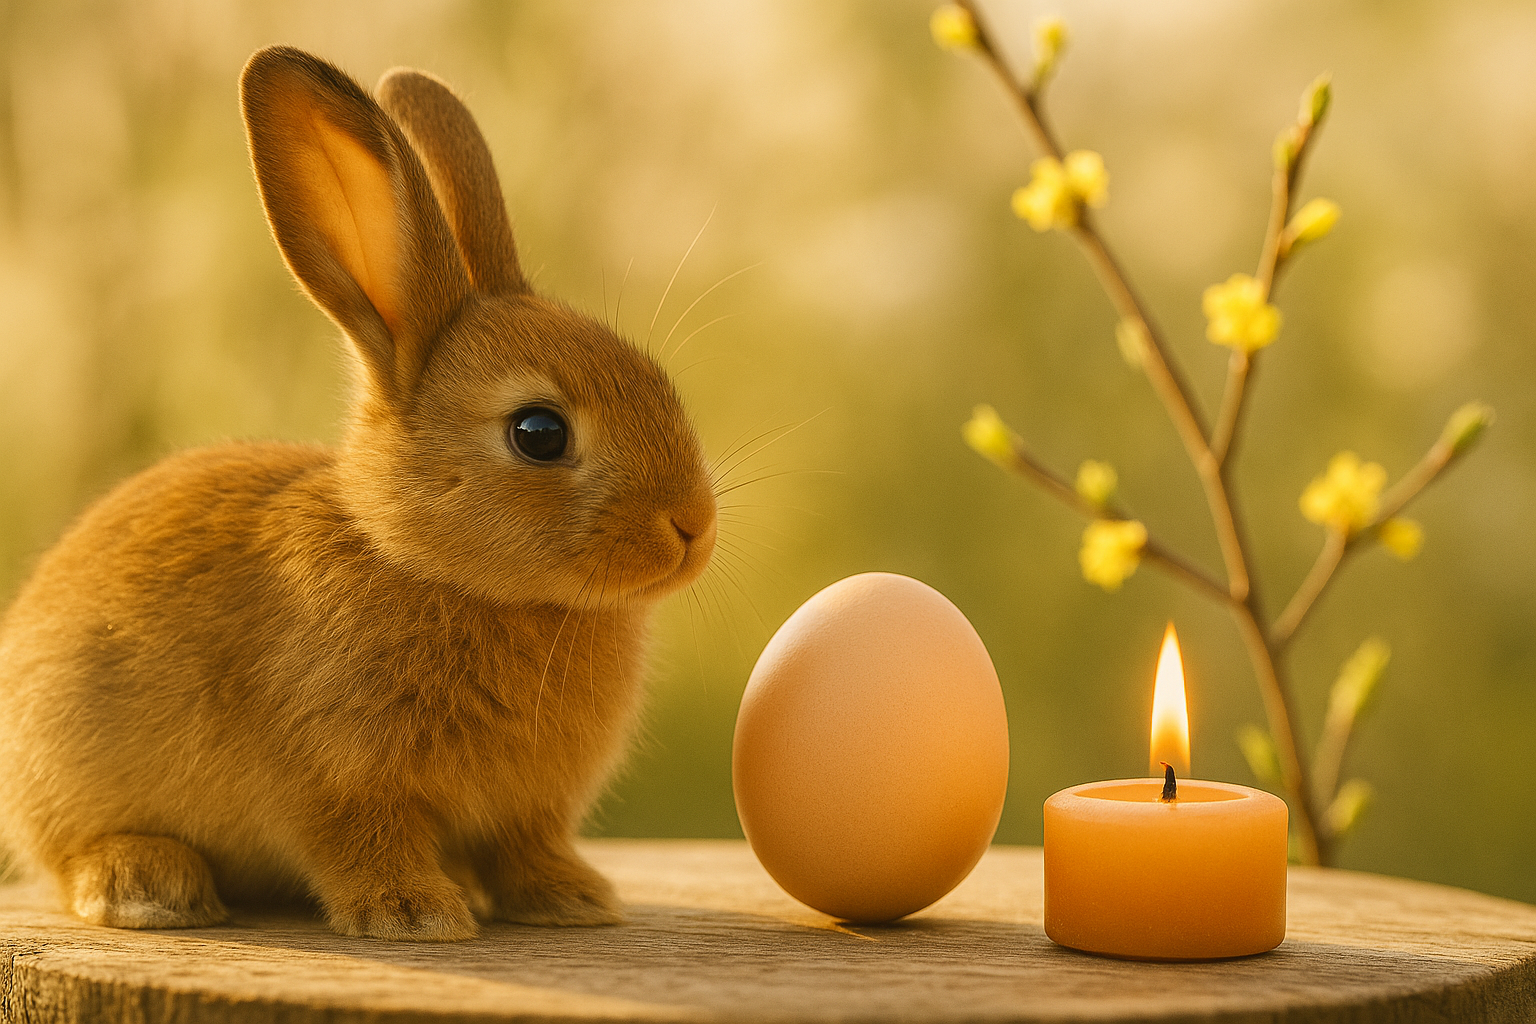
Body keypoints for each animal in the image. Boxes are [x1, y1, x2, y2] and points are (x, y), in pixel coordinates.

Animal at [0, 45, 718, 941]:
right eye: (539, 432)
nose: (693, 526)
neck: (420, 561)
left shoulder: (529, 810)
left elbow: (526, 848)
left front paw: (573, 899)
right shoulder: (339, 780)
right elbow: (363, 841)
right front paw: (414, 914)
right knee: (71, 856)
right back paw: (148, 886)